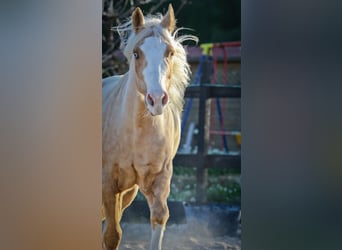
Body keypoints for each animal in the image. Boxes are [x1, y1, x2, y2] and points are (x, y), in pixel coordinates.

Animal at [101, 4, 198, 250]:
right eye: (136, 53)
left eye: (170, 52)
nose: (156, 99)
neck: (135, 132)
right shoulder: (107, 182)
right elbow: (112, 235)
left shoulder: (159, 180)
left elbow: (159, 218)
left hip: (128, 191)